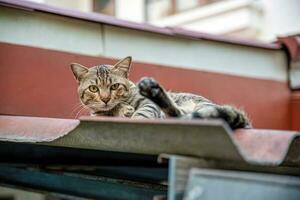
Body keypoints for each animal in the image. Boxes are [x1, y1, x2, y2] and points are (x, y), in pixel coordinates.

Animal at [71, 56, 251, 128]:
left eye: (115, 86)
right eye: (93, 88)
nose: (105, 98)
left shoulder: (147, 105)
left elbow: (141, 113)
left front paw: (130, 113)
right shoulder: (97, 114)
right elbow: (107, 111)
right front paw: (120, 109)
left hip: (202, 107)